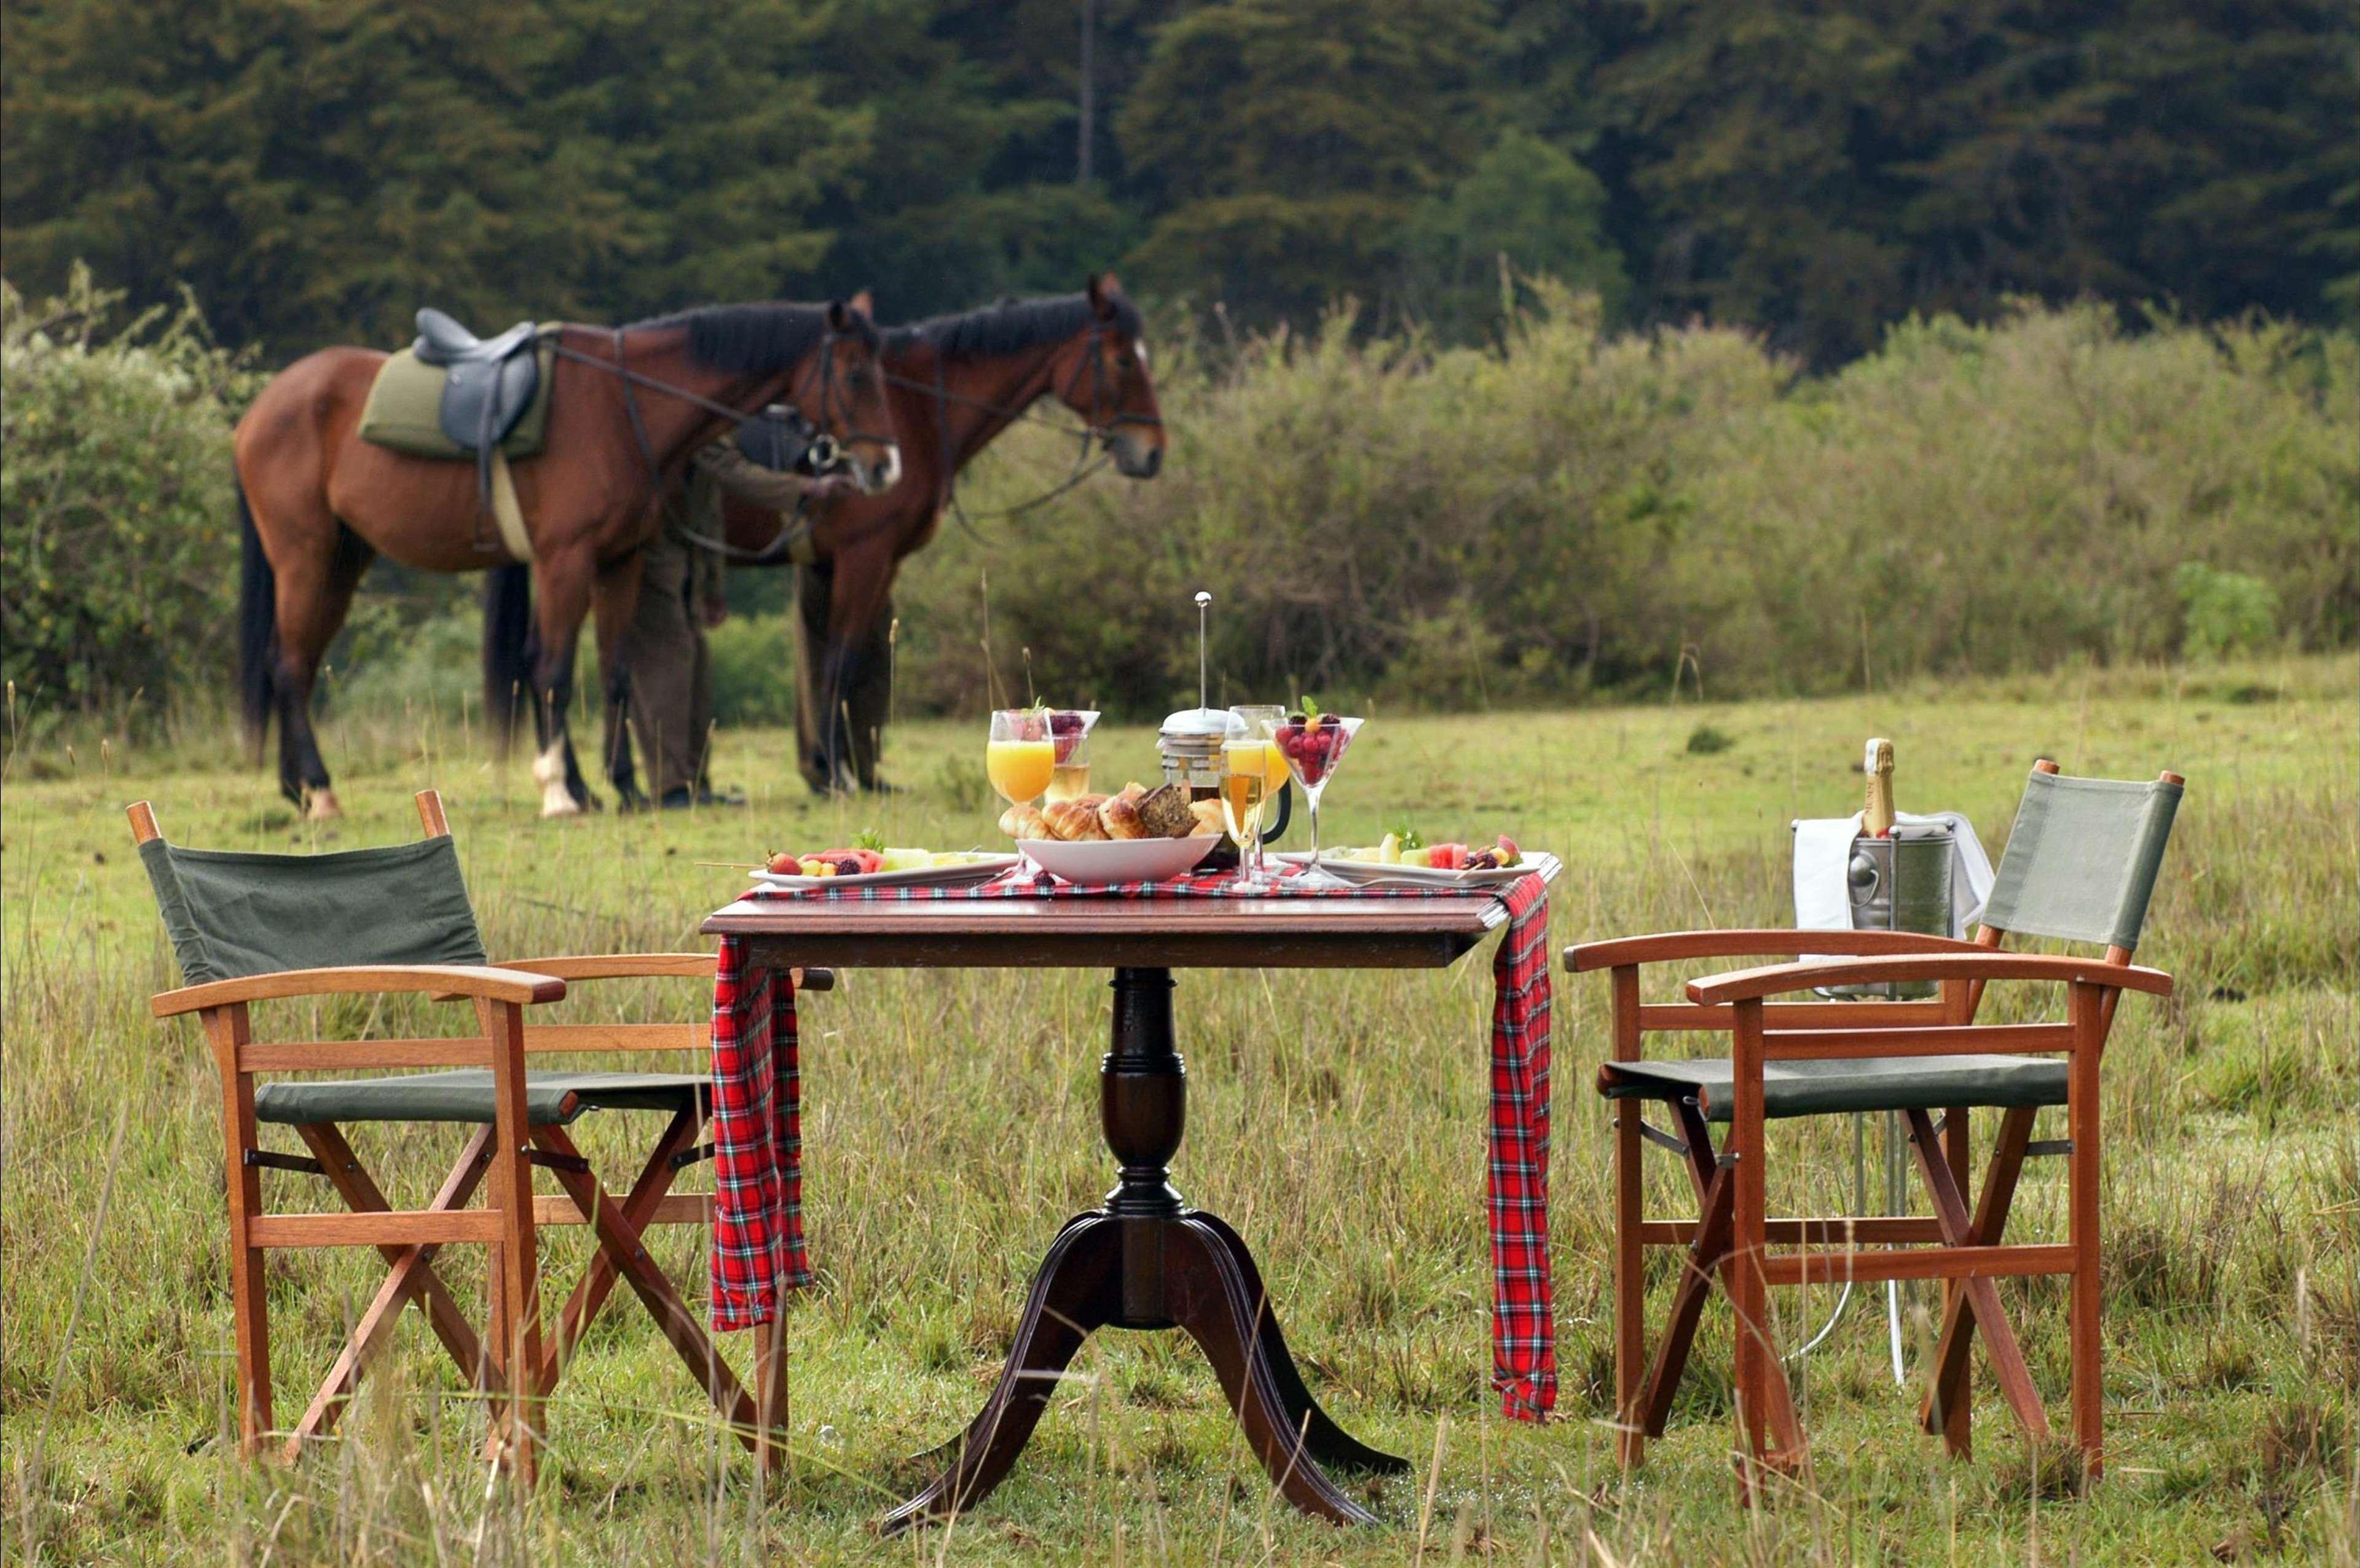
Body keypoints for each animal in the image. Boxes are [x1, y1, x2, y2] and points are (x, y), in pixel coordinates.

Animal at [232, 299, 892, 825]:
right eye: (856, 372)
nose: (885, 466)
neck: (623, 405)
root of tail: (261, 409)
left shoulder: (618, 561)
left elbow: (615, 674)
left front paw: (621, 787)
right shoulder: (564, 560)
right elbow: (551, 670)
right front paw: (559, 793)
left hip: (342, 563)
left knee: (292, 665)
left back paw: (297, 789)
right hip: (306, 558)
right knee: (289, 666)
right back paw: (321, 794)